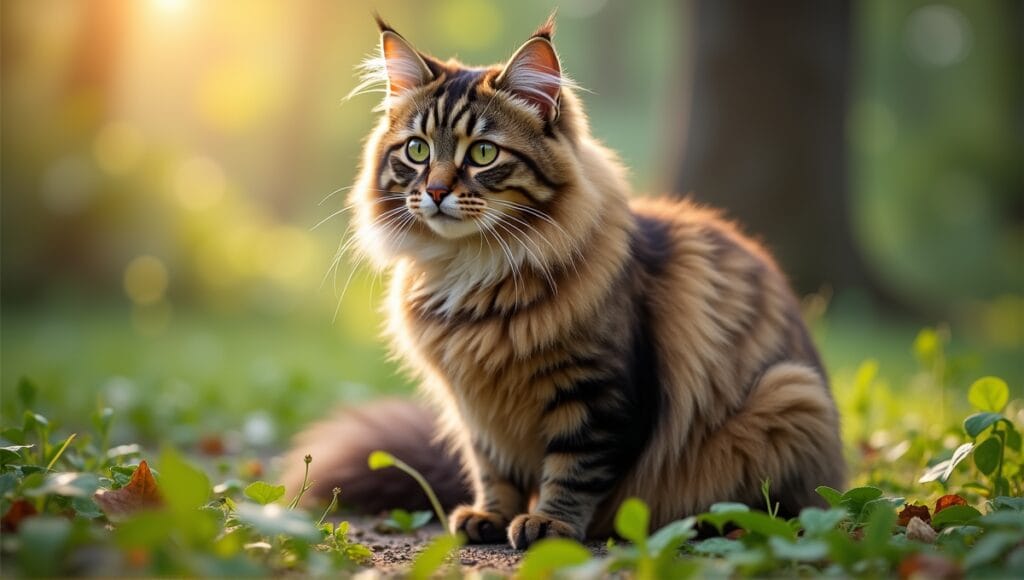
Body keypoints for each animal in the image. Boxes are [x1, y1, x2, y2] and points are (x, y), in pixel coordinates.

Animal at [284, 15, 843, 553]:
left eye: (483, 154)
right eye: (417, 150)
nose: (436, 191)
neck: (472, 270)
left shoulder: (598, 396)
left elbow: (574, 471)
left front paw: (548, 523)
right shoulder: (478, 410)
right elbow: (493, 470)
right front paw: (491, 517)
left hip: (787, 396)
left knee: (775, 512)